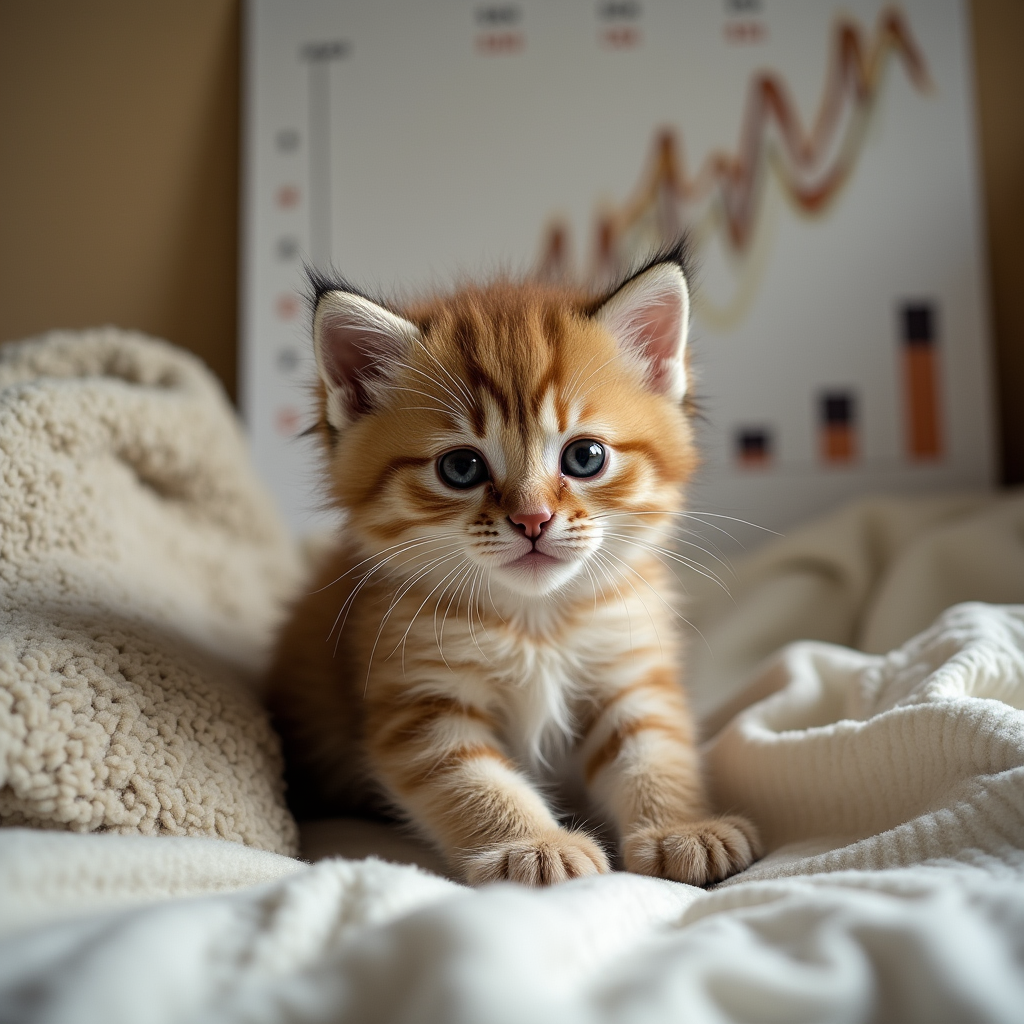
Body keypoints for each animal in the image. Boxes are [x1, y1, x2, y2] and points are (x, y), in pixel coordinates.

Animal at [266, 247, 761, 888]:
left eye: (585, 457)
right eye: (460, 468)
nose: (533, 519)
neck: (536, 620)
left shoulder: (627, 670)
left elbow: (656, 749)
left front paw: (682, 827)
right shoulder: (420, 700)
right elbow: (472, 779)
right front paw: (532, 845)